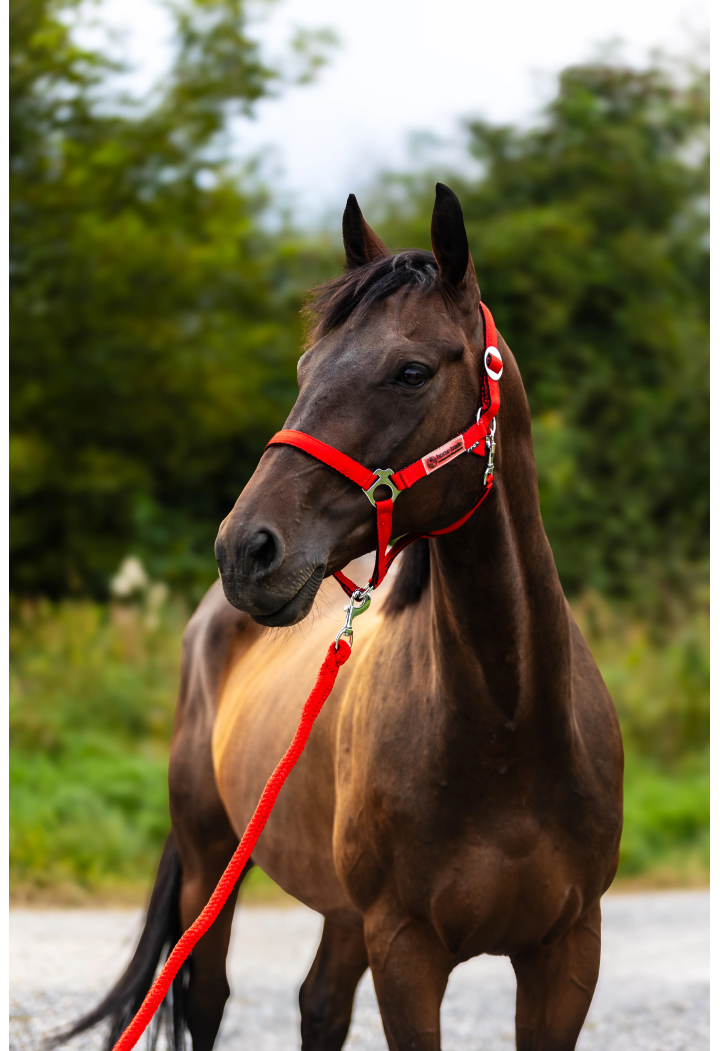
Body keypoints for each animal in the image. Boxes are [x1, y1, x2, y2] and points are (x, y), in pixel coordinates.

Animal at [58, 184, 623, 1051]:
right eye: (305, 368)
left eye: (411, 371)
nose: (245, 549)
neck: (509, 726)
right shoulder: (406, 950)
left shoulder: (566, 954)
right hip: (212, 863)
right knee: (208, 995)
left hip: (340, 911)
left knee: (318, 1003)